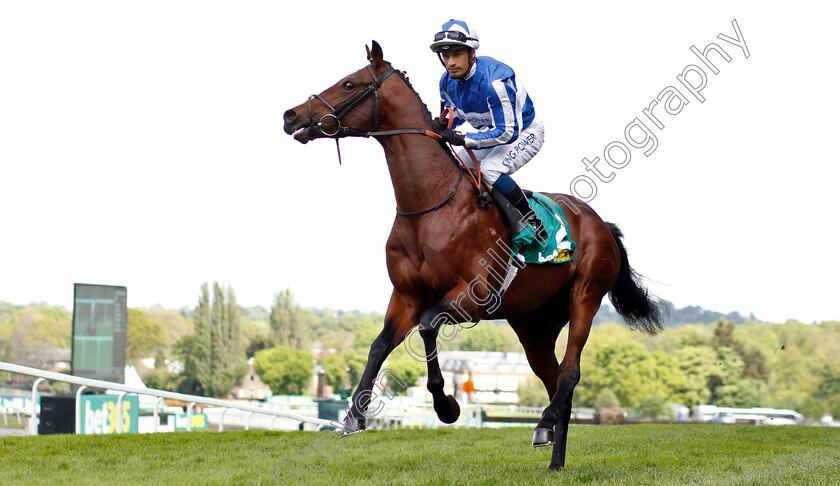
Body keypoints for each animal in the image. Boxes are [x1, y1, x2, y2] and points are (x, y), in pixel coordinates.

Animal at [286, 42, 668, 470]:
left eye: (349, 83)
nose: (292, 115)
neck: (431, 206)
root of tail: (601, 223)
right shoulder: (406, 296)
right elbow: (379, 346)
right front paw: (355, 415)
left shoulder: (473, 295)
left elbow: (428, 326)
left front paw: (446, 406)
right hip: (533, 323)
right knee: (556, 383)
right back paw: (554, 458)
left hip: (585, 295)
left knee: (570, 373)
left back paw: (543, 425)